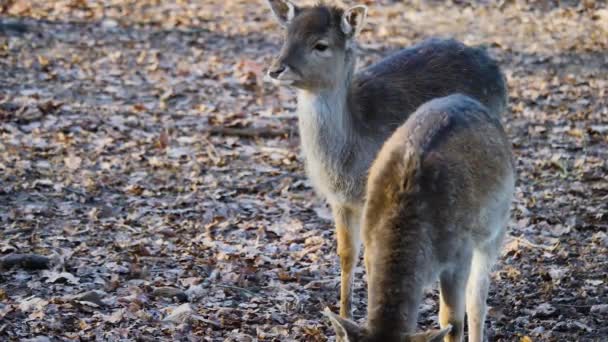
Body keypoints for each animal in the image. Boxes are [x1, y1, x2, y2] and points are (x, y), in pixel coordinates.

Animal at [264, 0, 506, 320]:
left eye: (320, 45)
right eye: (286, 36)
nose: (275, 69)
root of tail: (497, 71)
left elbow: (370, 258)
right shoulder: (339, 201)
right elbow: (347, 253)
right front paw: (343, 315)